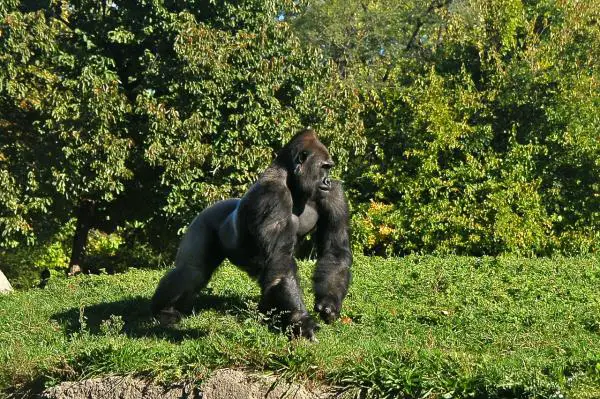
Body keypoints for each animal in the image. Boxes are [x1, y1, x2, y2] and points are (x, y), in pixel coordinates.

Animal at [150, 129, 354, 340]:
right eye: (324, 167)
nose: (328, 180)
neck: (291, 180)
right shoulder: (272, 195)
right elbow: (281, 262)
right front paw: (301, 321)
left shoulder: (334, 194)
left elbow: (334, 250)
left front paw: (329, 303)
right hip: (206, 218)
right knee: (192, 271)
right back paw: (163, 310)